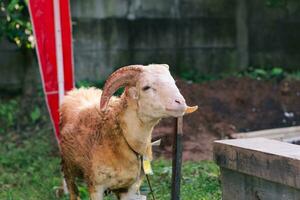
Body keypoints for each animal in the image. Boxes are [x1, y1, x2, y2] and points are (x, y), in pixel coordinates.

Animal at [59, 64, 197, 200]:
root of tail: (77, 90)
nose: (180, 103)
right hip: (68, 171)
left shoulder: (130, 188)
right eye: (146, 87)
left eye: (173, 82)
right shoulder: (96, 186)